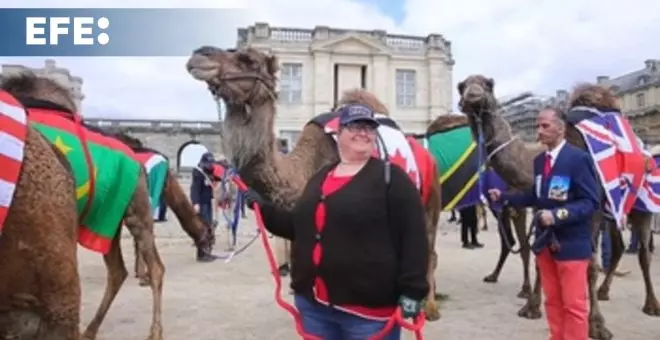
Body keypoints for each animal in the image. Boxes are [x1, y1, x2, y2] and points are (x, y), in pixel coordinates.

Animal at [456, 74, 660, 340]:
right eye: (461, 86)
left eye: (489, 84)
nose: (473, 96)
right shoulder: (539, 207)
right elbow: (539, 256)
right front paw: (531, 307)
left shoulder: (591, 209)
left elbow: (589, 265)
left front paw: (597, 325)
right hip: (614, 210)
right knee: (618, 247)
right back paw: (604, 291)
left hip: (640, 204)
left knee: (644, 253)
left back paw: (651, 305)